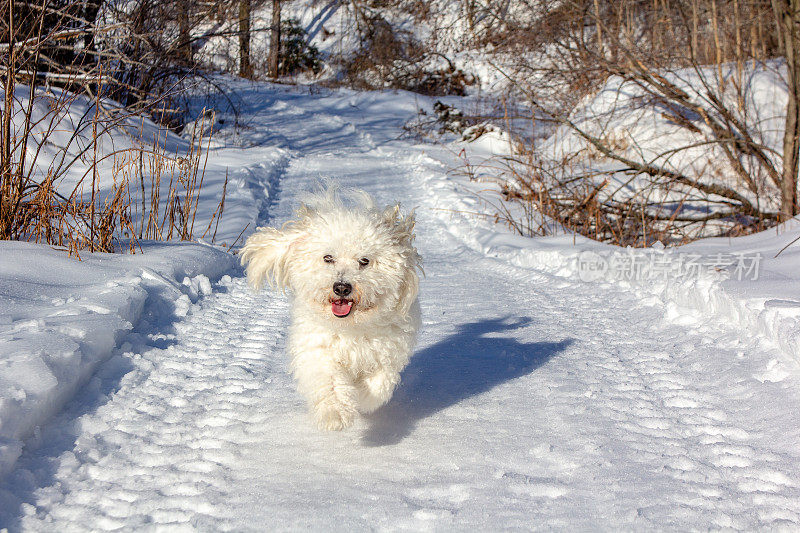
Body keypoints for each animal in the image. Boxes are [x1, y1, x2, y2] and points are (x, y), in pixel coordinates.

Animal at [241, 185, 422, 430]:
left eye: (364, 261)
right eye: (328, 258)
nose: (342, 287)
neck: (350, 328)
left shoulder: (387, 351)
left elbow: (379, 382)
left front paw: (364, 398)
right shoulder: (319, 351)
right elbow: (331, 383)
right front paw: (336, 415)